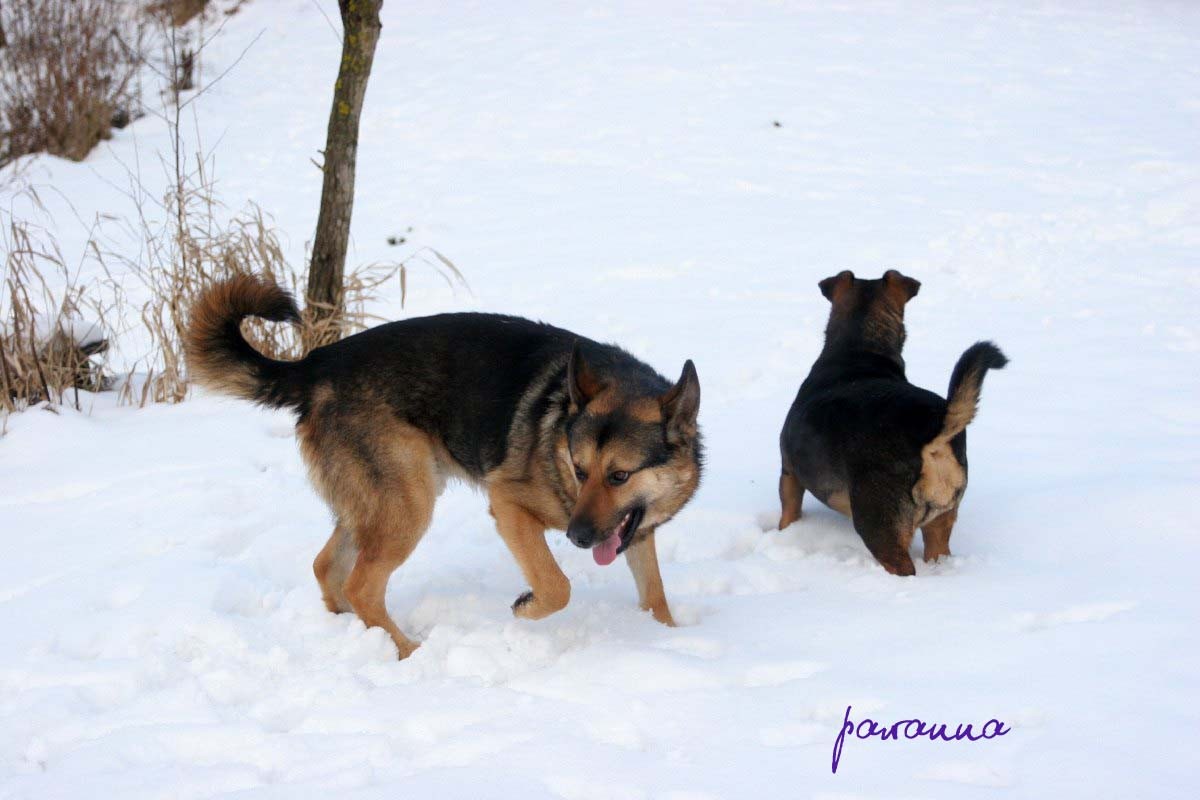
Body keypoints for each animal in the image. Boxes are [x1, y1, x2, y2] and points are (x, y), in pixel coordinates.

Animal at [187, 275, 700, 657]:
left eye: (619, 476)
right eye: (578, 469)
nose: (577, 537)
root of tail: (315, 366)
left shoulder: (635, 531)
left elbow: (654, 593)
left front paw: (669, 638)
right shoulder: (508, 505)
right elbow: (557, 586)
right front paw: (525, 605)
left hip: (377, 504)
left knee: (327, 567)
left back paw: (355, 635)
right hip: (408, 504)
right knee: (362, 584)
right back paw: (406, 651)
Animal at [777, 268, 1003, 575]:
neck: (860, 351)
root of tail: (934, 426)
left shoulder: (789, 473)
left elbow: (788, 513)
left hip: (880, 525)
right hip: (941, 520)